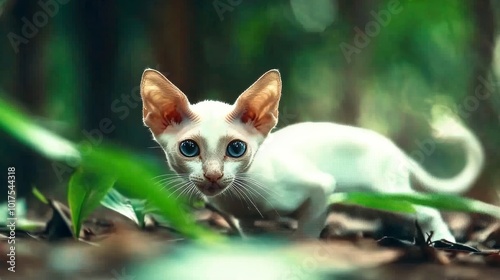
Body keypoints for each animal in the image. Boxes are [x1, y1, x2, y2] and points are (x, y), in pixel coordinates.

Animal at [140, 68, 484, 241]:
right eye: (189, 148)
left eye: (236, 148)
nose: (213, 175)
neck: (242, 195)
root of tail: (392, 148)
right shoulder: (244, 222)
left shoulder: (321, 186)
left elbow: (307, 232)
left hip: (385, 191)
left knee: (429, 211)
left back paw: (445, 244)